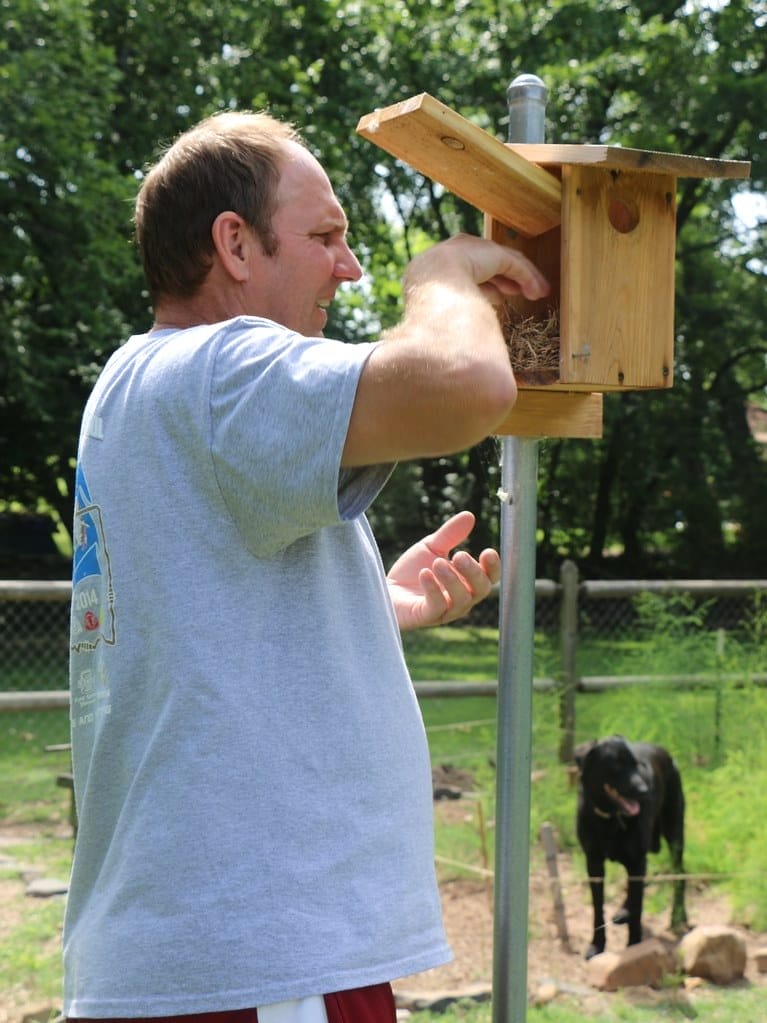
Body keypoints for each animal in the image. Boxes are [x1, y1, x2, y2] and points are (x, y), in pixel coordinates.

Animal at [576, 736, 691, 957]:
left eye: (636, 765)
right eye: (616, 766)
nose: (644, 791)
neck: (611, 818)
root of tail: (665, 753)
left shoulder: (637, 860)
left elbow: (638, 910)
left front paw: (634, 947)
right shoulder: (593, 862)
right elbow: (597, 906)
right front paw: (597, 944)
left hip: (674, 833)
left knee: (680, 872)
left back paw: (678, 917)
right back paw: (623, 910)